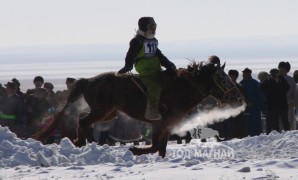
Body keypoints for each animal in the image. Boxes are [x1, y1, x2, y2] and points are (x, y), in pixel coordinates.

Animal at [32, 60, 244, 158]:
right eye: (223, 78)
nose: (239, 98)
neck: (179, 89)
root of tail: (89, 81)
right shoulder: (160, 123)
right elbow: (156, 146)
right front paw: (134, 149)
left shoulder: (166, 125)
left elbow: (161, 147)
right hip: (103, 109)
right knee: (84, 121)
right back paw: (86, 142)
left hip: (108, 111)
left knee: (83, 117)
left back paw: (81, 141)